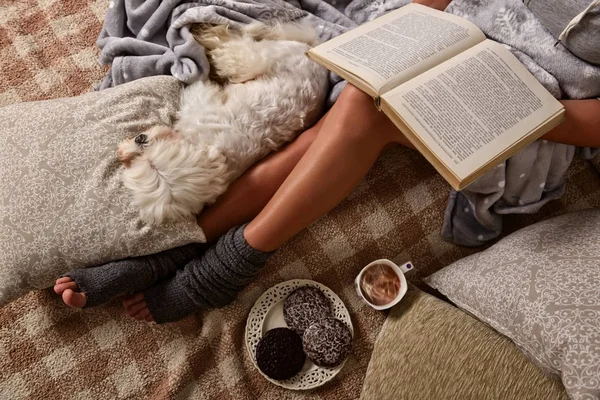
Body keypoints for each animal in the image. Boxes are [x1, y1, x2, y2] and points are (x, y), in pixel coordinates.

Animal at [117, 22, 328, 225]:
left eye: (152, 156)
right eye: (134, 161)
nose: (139, 138)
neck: (215, 154)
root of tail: (313, 53)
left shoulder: (200, 102)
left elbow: (196, 89)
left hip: (253, 59)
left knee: (231, 42)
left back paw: (203, 32)